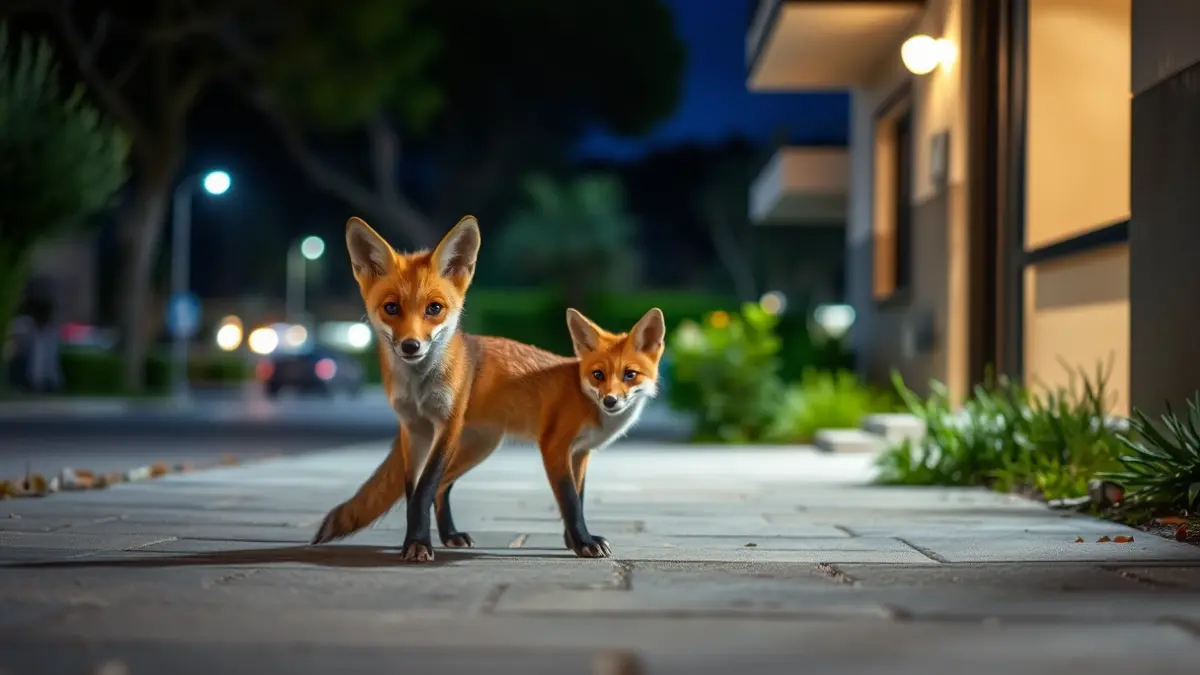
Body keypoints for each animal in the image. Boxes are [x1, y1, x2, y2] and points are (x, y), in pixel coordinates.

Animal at [310, 215, 665, 560]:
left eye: (630, 375)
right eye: (391, 308)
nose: (610, 401)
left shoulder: (576, 453)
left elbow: (575, 498)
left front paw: (574, 540)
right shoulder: (421, 430)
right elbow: (417, 491)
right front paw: (416, 544)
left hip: (476, 448)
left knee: (441, 487)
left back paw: (450, 536)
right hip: (469, 447)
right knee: (436, 488)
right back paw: (443, 536)